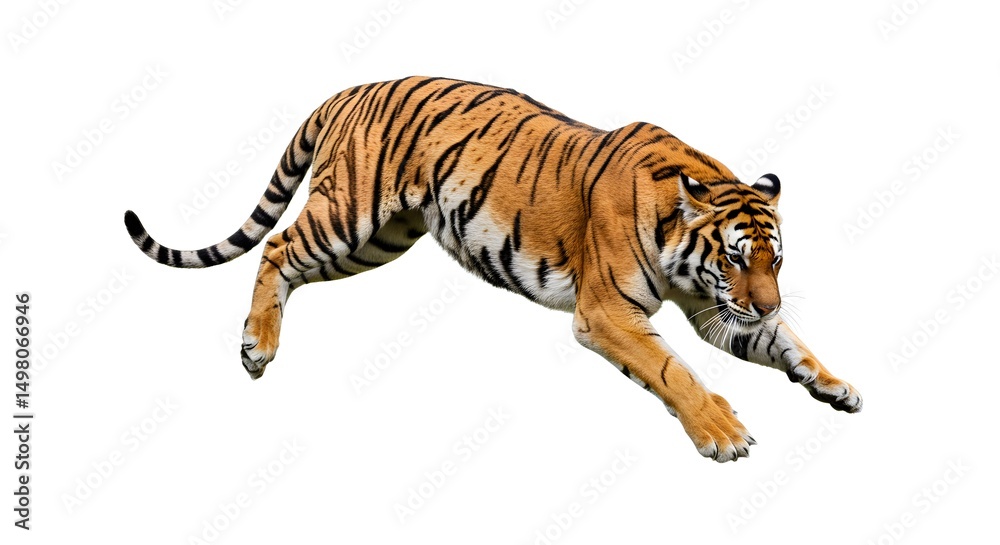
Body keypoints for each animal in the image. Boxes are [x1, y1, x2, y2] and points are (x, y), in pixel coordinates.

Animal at [124, 76, 862, 462]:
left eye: (774, 260)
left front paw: (835, 386)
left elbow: (788, 344)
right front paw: (724, 433)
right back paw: (257, 346)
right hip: (348, 216)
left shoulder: (717, 309)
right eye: (735, 256)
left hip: (377, 240)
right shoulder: (607, 312)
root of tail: (348, 89)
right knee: (275, 248)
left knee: (287, 260)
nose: (766, 300)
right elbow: (672, 369)